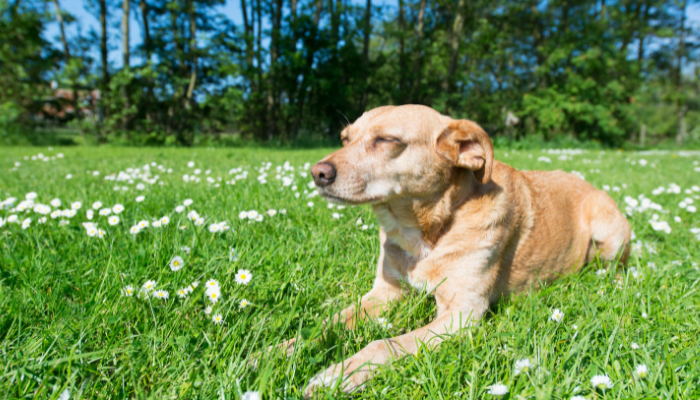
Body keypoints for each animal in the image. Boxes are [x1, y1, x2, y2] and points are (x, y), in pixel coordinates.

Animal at [292, 104, 632, 396]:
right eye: (345, 139)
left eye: (387, 140)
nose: (317, 173)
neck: (428, 234)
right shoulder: (384, 293)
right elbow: (326, 324)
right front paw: (285, 349)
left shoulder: (462, 313)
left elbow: (384, 345)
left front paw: (337, 375)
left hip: (609, 233)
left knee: (617, 269)